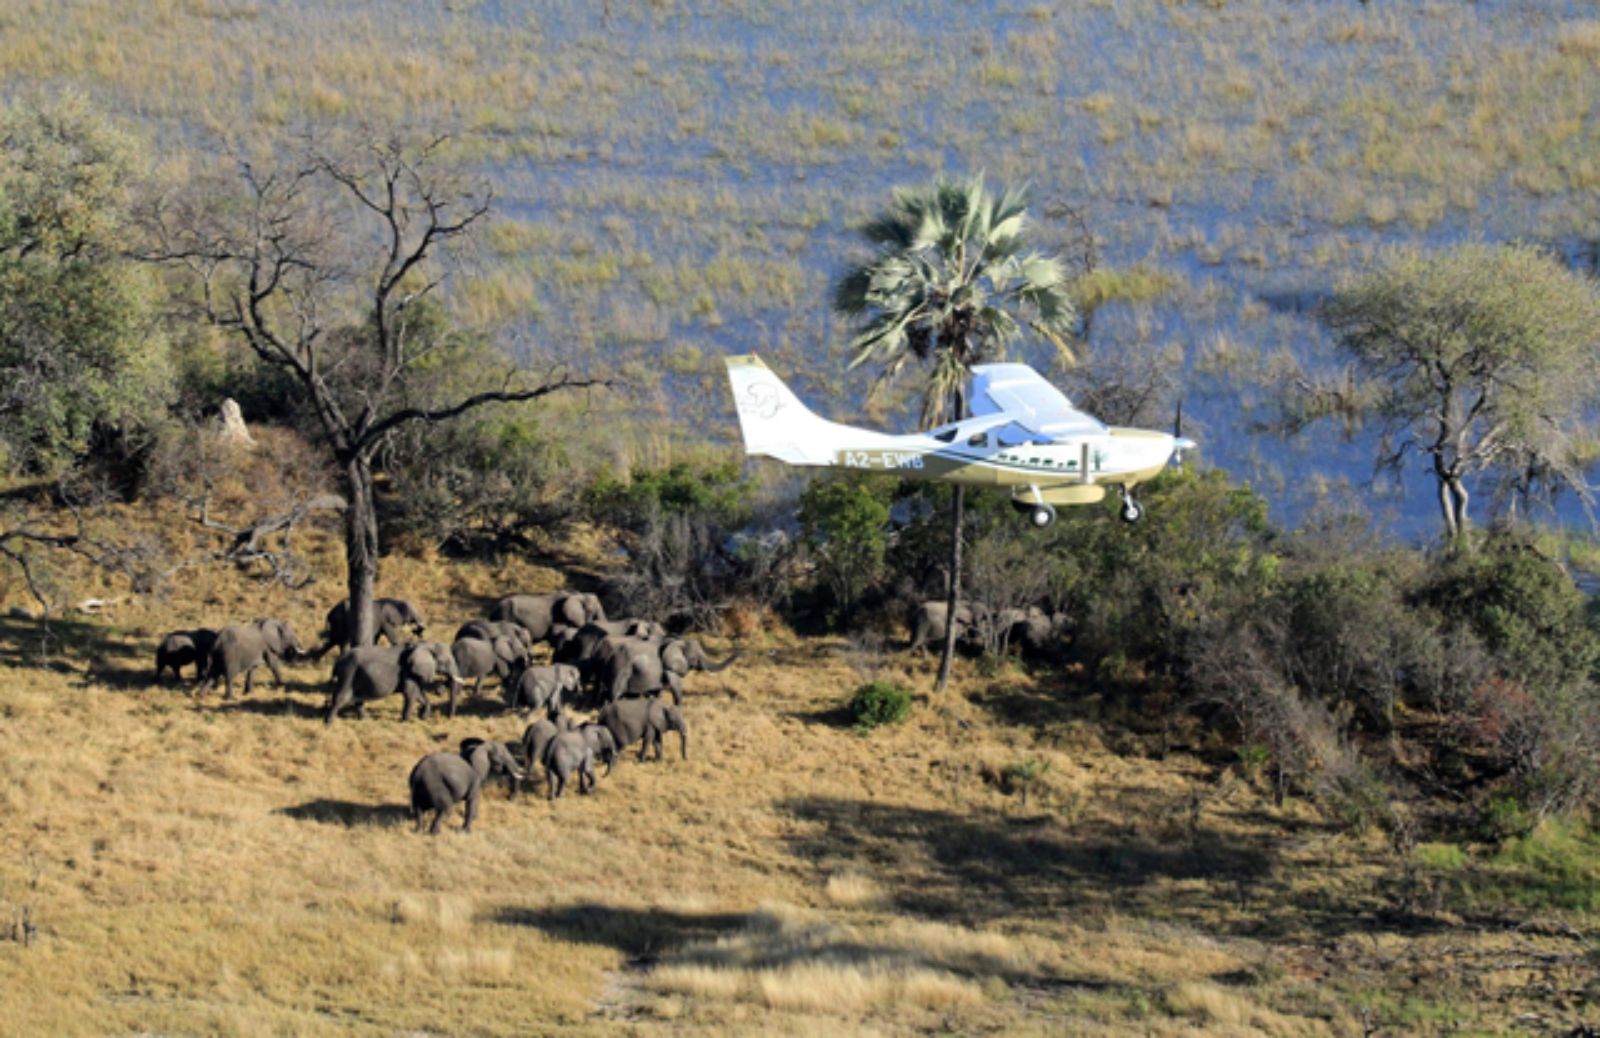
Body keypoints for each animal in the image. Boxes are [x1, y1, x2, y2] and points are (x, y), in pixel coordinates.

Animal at [324, 636, 464, 726]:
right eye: (447, 662)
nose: (449, 719)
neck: (425, 644)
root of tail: (338, 661)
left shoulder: (415, 672)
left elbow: (419, 693)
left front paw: (423, 717)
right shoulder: (408, 671)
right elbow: (410, 693)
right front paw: (405, 722)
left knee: (358, 698)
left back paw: (366, 720)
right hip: (349, 672)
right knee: (342, 697)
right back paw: (328, 724)